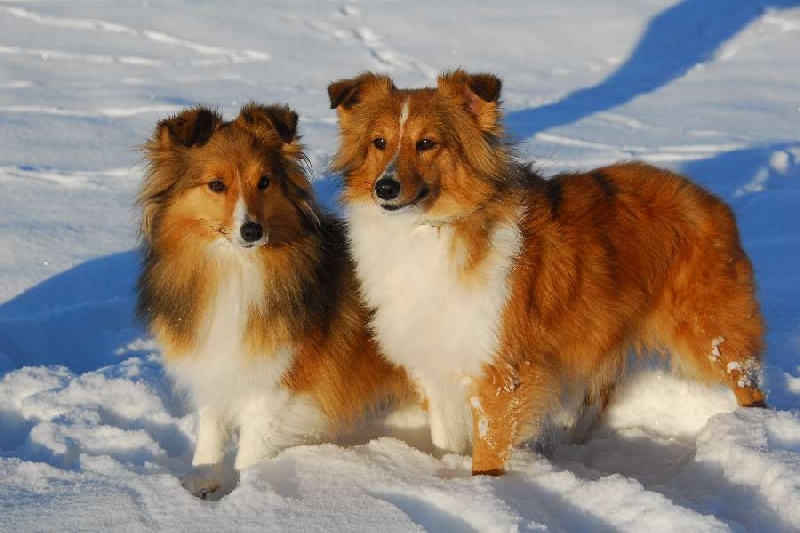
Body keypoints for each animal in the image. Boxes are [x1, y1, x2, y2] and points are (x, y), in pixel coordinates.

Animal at [138, 104, 410, 498]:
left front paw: (249, 493)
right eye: (216, 185)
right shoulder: (215, 360)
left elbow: (252, 448)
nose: (252, 230)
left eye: (264, 182)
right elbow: (210, 425)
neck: (235, 268)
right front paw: (202, 481)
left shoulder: (276, 387)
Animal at [326, 69, 768, 474]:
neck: (429, 228)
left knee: (746, 381)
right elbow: (445, 438)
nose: (385, 188)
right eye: (379, 142)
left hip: (709, 330)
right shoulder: (434, 360)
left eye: (427, 143)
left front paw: (486, 489)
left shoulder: (500, 371)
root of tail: (708, 198)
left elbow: (488, 451)